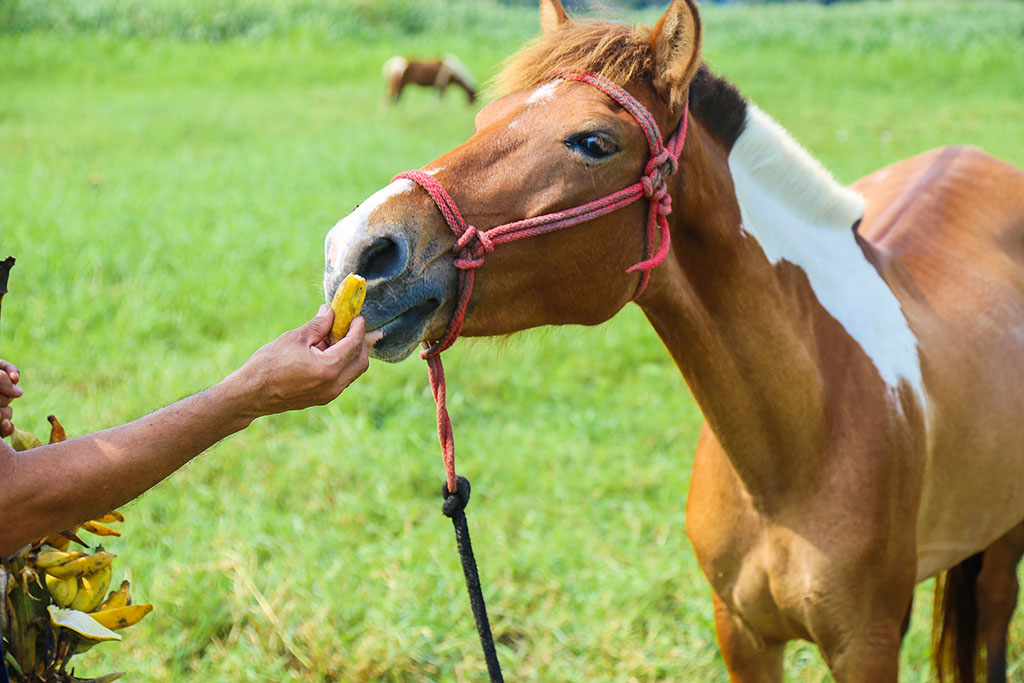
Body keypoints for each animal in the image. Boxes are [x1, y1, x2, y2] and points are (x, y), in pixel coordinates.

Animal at [325, 0, 1024, 679]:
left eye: (594, 142)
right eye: (485, 118)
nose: (356, 248)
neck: (799, 445)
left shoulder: (868, 643)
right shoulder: (740, 632)